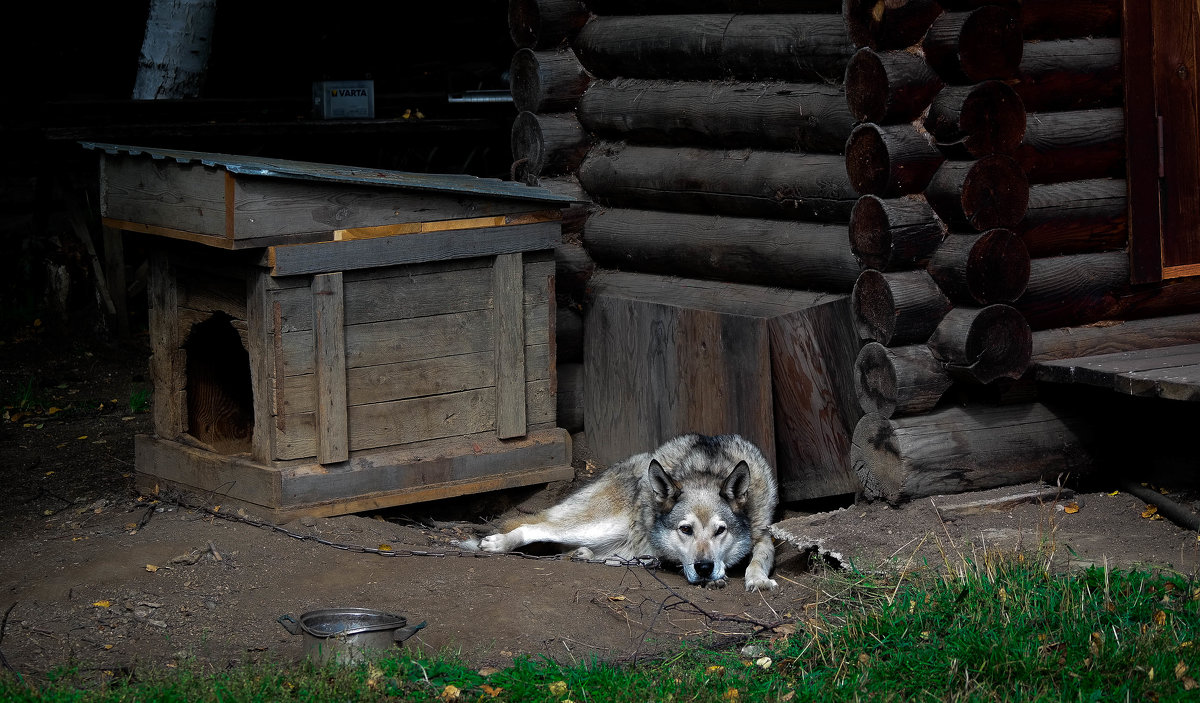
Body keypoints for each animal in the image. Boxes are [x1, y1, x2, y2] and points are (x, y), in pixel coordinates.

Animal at [475, 429, 777, 587]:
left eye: (720, 531)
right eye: (686, 529)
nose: (704, 567)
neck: (707, 468)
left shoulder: (764, 533)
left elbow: (761, 556)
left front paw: (757, 580)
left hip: (621, 544)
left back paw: (581, 555)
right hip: (599, 525)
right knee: (533, 526)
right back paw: (498, 543)